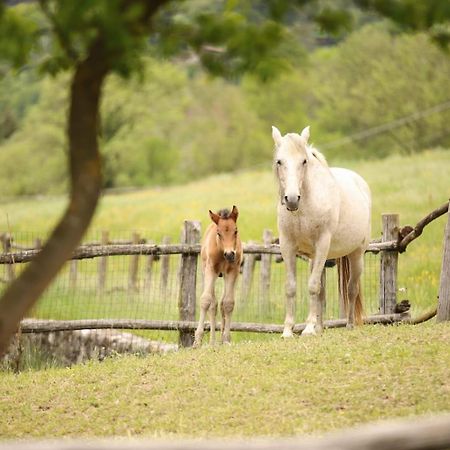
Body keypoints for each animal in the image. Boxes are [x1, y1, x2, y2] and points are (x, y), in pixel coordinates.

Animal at [270, 125, 372, 336]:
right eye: (279, 161)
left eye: (304, 161)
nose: (292, 199)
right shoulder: (287, 246)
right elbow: (292, 287)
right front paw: (288, 330)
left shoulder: (322, 244)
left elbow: (312, 287)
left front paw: (308, 329)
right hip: (317, 259)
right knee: (323, 293)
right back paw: (320, 328)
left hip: (356, 255)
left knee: (351, 289)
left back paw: (349, 325)